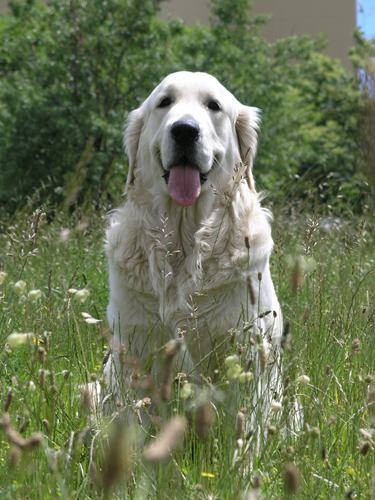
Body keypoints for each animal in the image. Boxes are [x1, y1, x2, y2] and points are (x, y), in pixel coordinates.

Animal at [104, 71, 296, 438]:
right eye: (164, 102)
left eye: (213, 106)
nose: (184, 130)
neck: (183, 242)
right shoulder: (135, 350)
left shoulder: (244, 351)